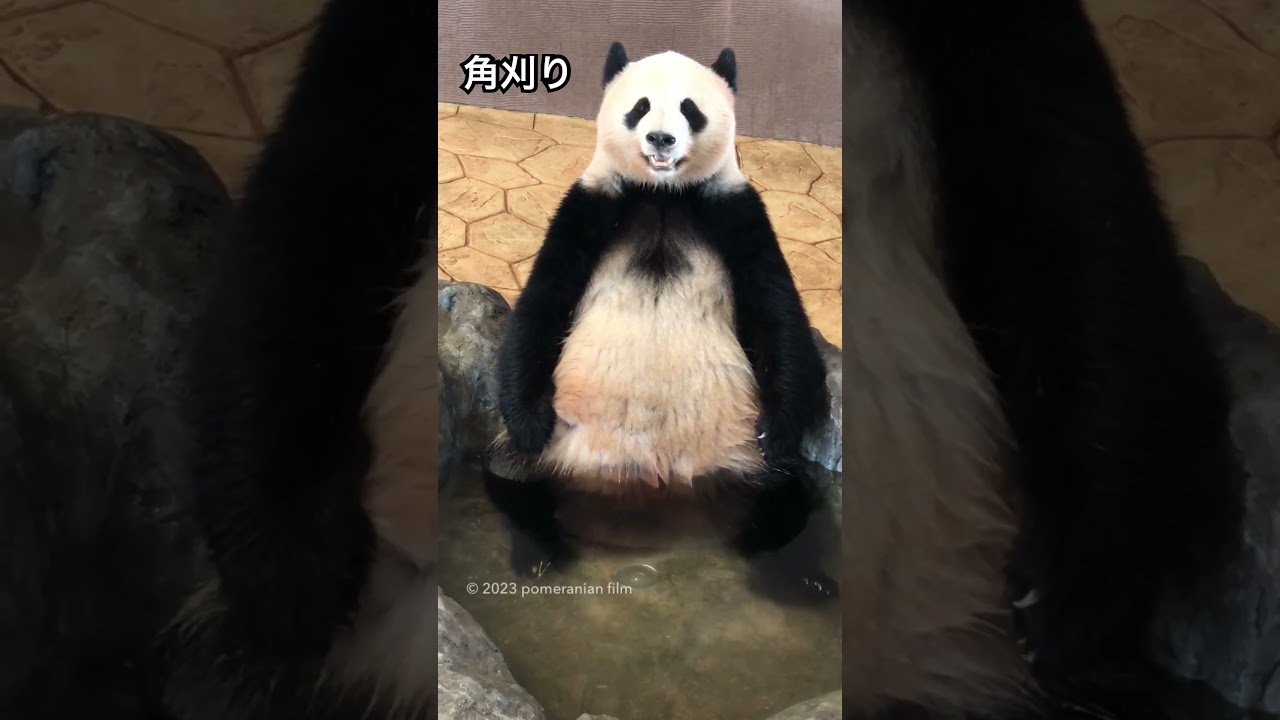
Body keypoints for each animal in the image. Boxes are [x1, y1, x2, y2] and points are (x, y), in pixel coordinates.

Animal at [480, 42, 839, 601]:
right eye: (641, 107)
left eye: (691, 109)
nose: (661, 138)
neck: (663, 194)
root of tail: (651, 473)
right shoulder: (591, 205)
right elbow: (542, 302)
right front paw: (529, 418)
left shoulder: (734, 210)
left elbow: (776, 310)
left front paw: (779, 427)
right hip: (563, 445)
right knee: (512, 474)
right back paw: (539, 554)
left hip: (742, 454)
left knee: (787, 492)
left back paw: (797, 577)